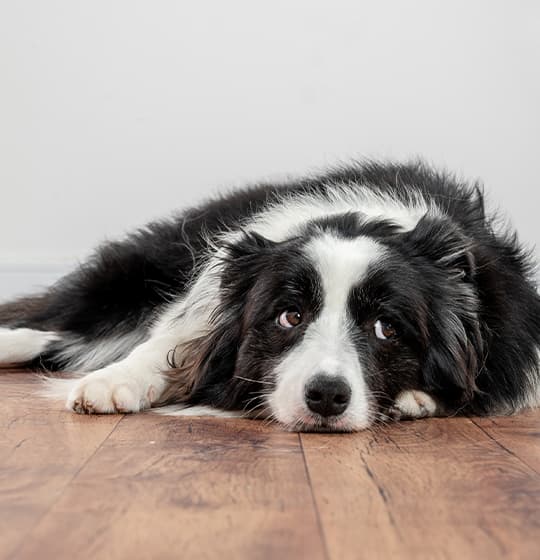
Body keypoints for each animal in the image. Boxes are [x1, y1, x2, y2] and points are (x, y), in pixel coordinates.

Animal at [1, 162, 540, 434]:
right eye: (289, 316)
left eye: (387, 327)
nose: (327, 397)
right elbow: (164, 345)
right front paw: (112, 382)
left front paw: (415, 400)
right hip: (132, 276)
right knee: (52, 324)